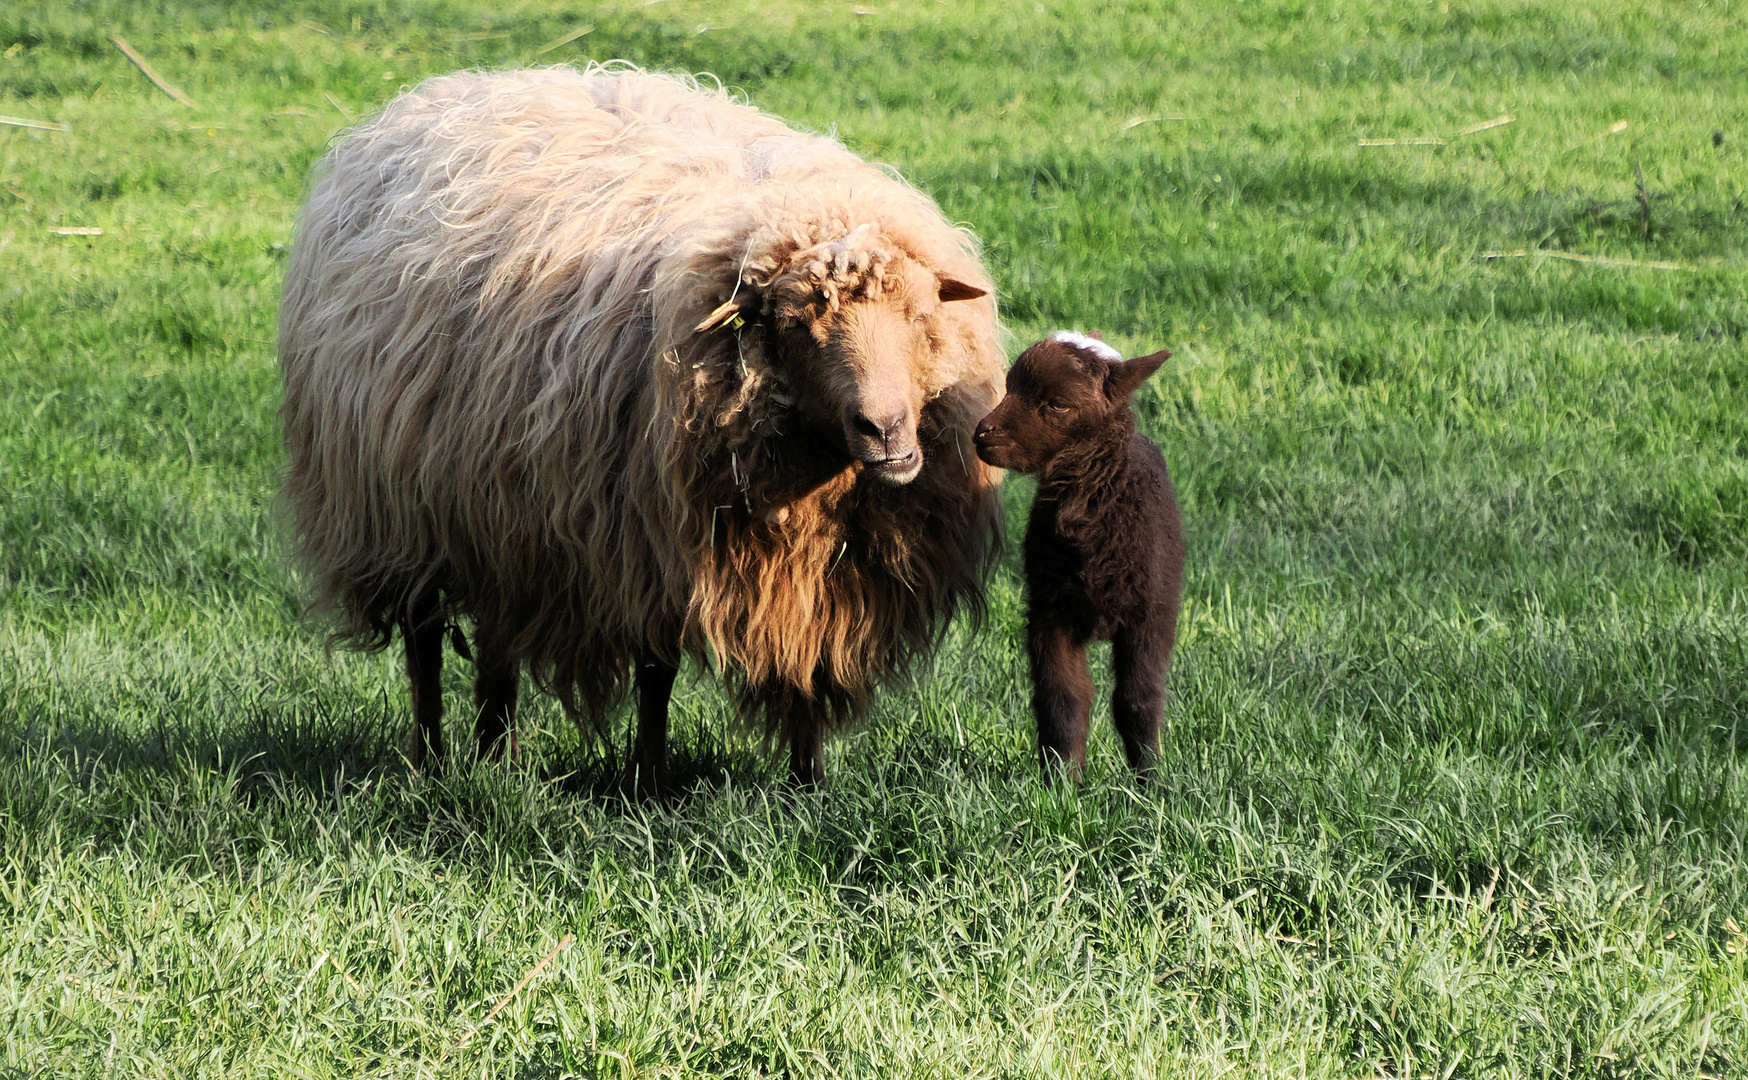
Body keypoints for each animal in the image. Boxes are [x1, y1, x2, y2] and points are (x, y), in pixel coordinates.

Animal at [277, 69, 1006, 789]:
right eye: (794, 327)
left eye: (920, 315)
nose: (884, 429)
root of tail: (459, 87)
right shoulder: (649, 541)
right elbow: (658, 674)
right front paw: (650, 781)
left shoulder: (824, 576)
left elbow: (807, 669)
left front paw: (808, 784)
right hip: (399, 511)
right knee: (424, 639)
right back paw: (431, 759)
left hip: (496, 511)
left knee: (495, 639)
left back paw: (492, 754)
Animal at [971, 328, 1188, 772]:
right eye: (1009, 385)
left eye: (1059, 403)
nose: (983, 434)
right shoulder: (1051, 613)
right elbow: (1063, 701)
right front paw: (1061, 780)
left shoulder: (1150, 614)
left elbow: (1138, 702)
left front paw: (1152, 779)